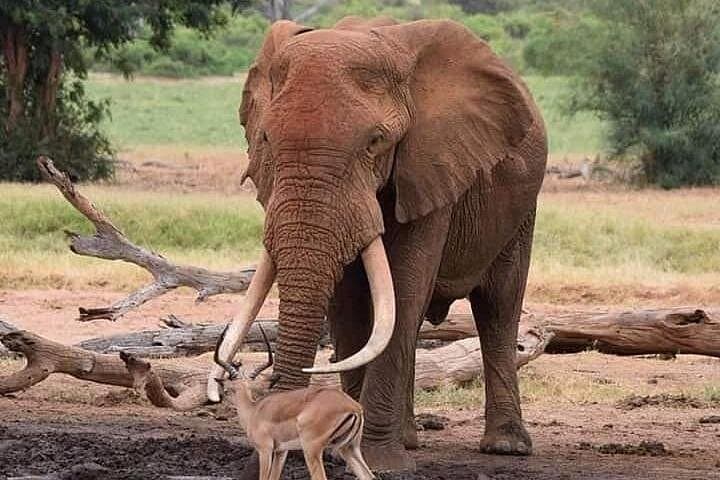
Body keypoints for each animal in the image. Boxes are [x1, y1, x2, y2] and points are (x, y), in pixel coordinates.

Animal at [207, 15, 547, 473]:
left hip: (521, 207)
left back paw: (505, 446)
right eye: (264, 139)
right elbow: (349, 304)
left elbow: (404, 291)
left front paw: (382, 462)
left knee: (499, 305)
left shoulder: (431, 165)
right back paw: (410, 439)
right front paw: (347, 445)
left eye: (375, 142)